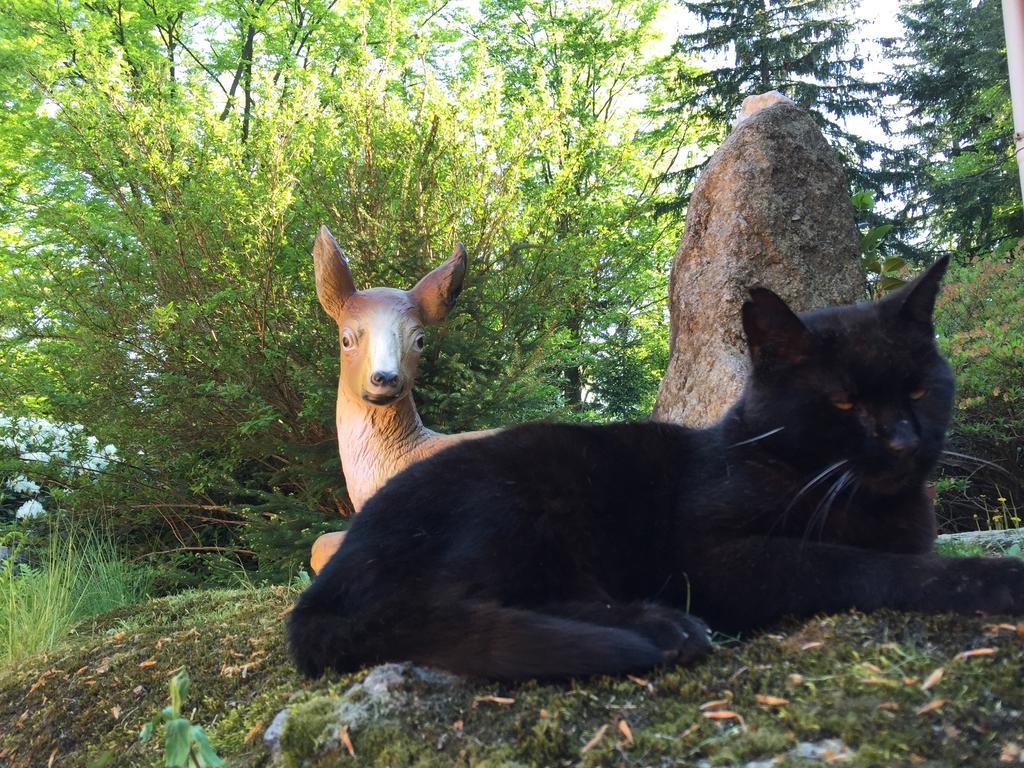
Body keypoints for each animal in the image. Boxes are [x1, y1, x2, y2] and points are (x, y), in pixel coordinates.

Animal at [288, 259, 1024, 679]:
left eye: (920, 390)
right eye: (844, 401)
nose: (903, 441)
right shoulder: (718, 554)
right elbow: (860, 565)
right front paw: (992, 580)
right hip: (516, 498)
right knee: (445, 608)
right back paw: (658, 628)